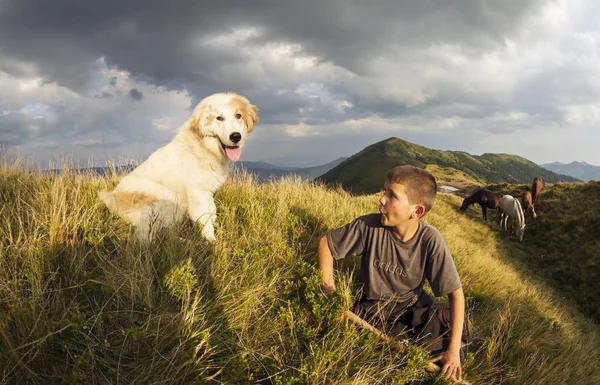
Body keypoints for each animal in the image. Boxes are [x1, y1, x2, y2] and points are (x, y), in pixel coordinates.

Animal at [98, 92, 258, 240]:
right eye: (219, 118)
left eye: (238, 116)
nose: (236, 136)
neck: (204, 146)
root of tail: (111, 199)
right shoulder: (197, 194)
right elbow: (205, 221)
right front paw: (211, 242)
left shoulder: (208, 192)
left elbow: (212, 212)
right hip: (167, 201)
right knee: (150, 237)